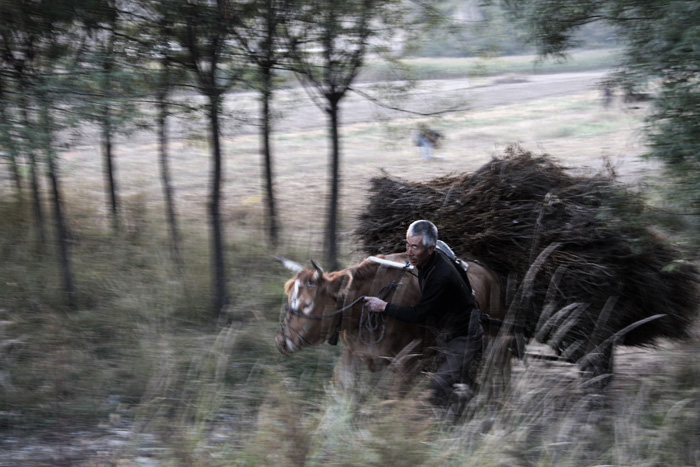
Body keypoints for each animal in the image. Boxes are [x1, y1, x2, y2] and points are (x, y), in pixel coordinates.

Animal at [276, 254, 512, 390]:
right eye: (289, 300)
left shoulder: (407, 364)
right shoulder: (353, 353)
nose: (282, 340)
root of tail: (489, 271)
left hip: (497, 342)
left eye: (308, 304)